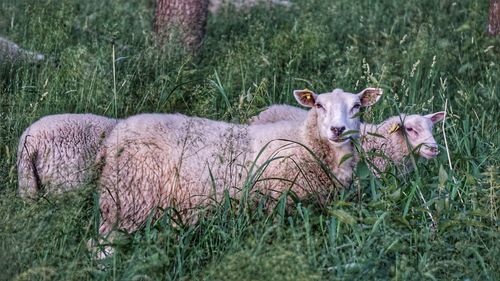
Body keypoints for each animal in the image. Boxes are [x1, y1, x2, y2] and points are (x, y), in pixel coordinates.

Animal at [95, 87, 380, 238]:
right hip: (130, 198)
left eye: (357, 106)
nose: (337, 129)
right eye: (319, 105)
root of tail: (113, 138)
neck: (303, 139)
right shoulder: (282, 202)